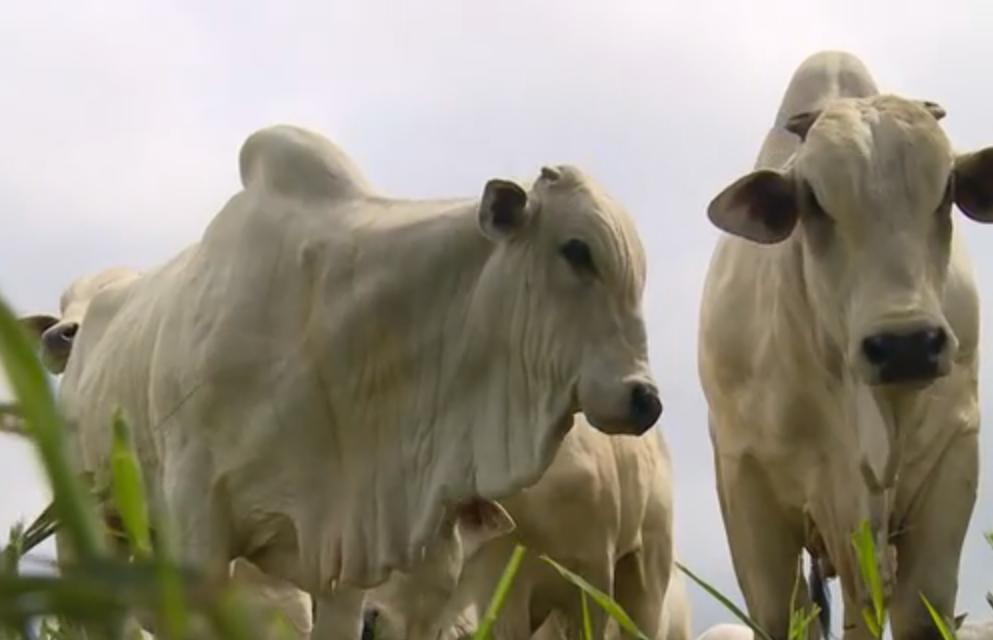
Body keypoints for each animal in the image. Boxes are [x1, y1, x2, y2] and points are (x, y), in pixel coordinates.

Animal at [696, 51, 992, 640]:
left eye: (947, 190)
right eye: (812, 200)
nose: (906, 344)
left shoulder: (953, 455)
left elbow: (918, 610)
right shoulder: (748, 485)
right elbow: (782, 615)